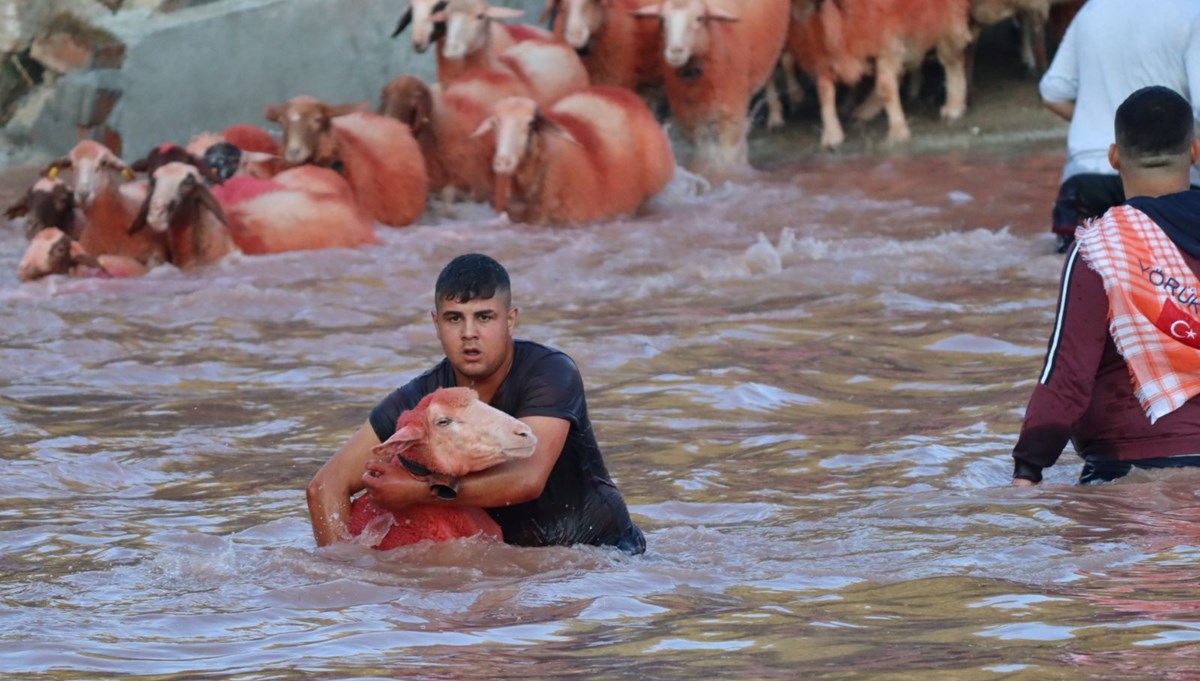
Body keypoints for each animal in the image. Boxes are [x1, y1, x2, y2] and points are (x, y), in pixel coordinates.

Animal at [633, 0, 792, 178]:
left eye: (699, 18)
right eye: (662, 20)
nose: (675, 52)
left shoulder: (731, 110)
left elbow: (728, 152)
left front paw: (729, 172)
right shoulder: (688, 116)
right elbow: (704, 150)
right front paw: (704, 170)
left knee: (778, 67)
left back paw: (777, 116)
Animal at [787, 0, 974, 148]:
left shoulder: (886, 42)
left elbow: (885, 88)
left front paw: (898, 132)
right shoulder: (824, 58)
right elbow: (824, 91)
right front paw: (832, 134)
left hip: (947, 20)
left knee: (953, 61)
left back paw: (954, 106)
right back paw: (866, 109)